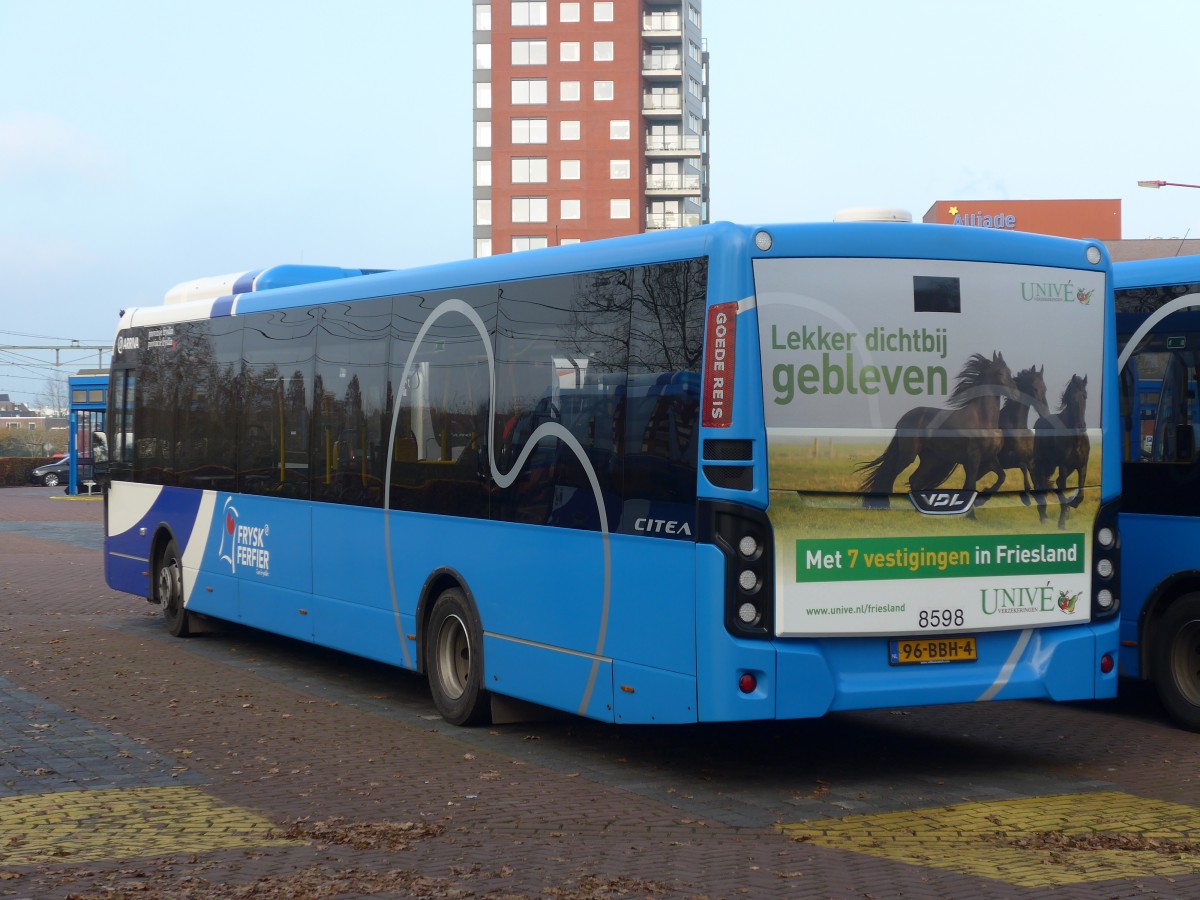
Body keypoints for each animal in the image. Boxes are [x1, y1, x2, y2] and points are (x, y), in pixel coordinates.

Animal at [859, 350, 1017, 508]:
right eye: (1000, 373)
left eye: (1009, 372)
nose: (1016, 394)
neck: (983, 420)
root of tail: (903, 419)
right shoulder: (972, 458)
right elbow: (970, 485)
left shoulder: (990, 457)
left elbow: (1001, 476)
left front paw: (983, 497)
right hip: (908, 455)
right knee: (890, 475)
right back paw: (884, 505)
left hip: (930, 458)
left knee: (914, 479)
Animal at [1027, 372, 1094, 528]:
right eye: (1072, 398)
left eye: (1085, 396)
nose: (1081, 426)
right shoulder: (1063, 466)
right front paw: (1062, 522)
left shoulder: (1082, 466)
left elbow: (1081, 494)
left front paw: (1071, 507)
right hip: (1043, 463)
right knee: (1040, 482)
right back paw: (1043, 516)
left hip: (1055, 466)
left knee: (1054, 482)